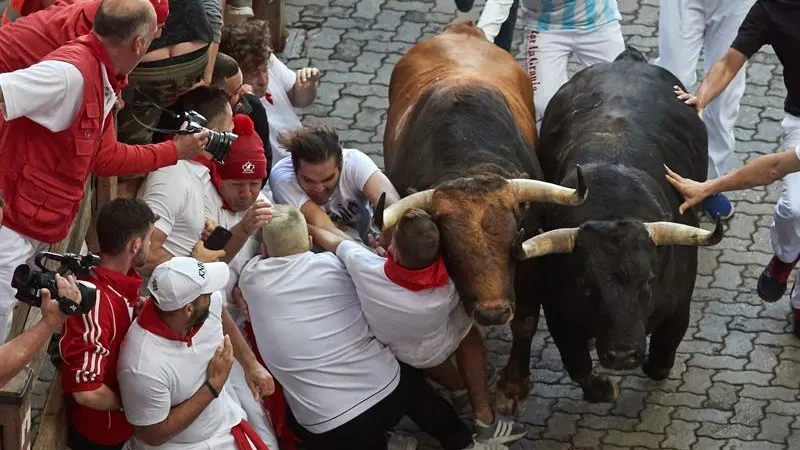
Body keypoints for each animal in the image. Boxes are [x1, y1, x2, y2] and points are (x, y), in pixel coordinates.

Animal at [376, 20, 588, 414]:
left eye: (513, 240)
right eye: (451, 250)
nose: (492, 313)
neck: (469, 162)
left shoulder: (531, 264)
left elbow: (525, 321)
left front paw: (514, 386)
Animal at [532, 47, 724, 402]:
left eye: (647, 281)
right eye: (586, 286)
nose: (622, 355)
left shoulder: (679, 308)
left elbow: (661, 357)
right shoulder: (557, 310)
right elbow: (577, 364)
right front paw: (603, 387)